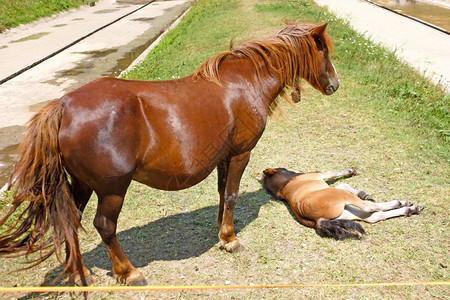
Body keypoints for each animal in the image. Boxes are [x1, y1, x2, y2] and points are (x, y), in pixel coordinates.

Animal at [0, 22, 338, 286]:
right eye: (324, 51)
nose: (334, 84)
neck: (245, 82)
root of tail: (64, 105)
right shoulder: (241, 153)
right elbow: (231, 195)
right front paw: (230, 240)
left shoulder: (223, 157)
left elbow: (221, 193)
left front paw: (220, 231)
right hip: (112, 188)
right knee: (104, 226)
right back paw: (128, 272)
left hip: (81, 184)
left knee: (70, 221)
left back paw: (80, 274)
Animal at [262, 168, 424, 240]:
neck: (285, 185)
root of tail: (316, 221)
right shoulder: (322, 176)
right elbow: (334, 174)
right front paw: (351, 171)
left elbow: (343, 184)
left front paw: (363, 192)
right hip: (343, 200)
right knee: (370, 208)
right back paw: (403, 204)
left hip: (346, 212)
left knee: (373, 217)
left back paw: (411, 209)